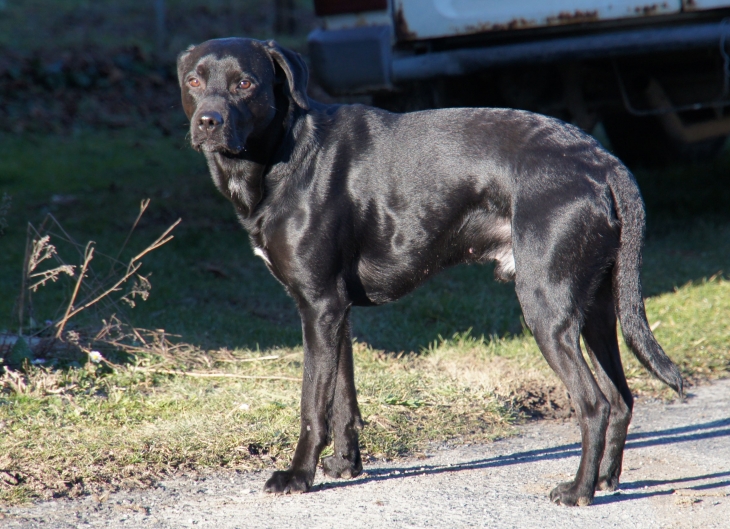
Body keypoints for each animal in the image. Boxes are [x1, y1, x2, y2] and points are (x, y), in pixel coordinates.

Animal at [178, 38, 684, 508]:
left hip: (546, 307)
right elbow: (342, 399)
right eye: (194, 82)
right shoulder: (336, 313)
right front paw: (345, 465)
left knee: (593, 404)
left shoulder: (318, 307)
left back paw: (578, 491)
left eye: (246, 83)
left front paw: (299, 476)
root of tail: (602, 160)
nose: (208, 121)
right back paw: (604, 481)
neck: (285, 149)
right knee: (621, 399)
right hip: (596, 308)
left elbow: (311, 406)